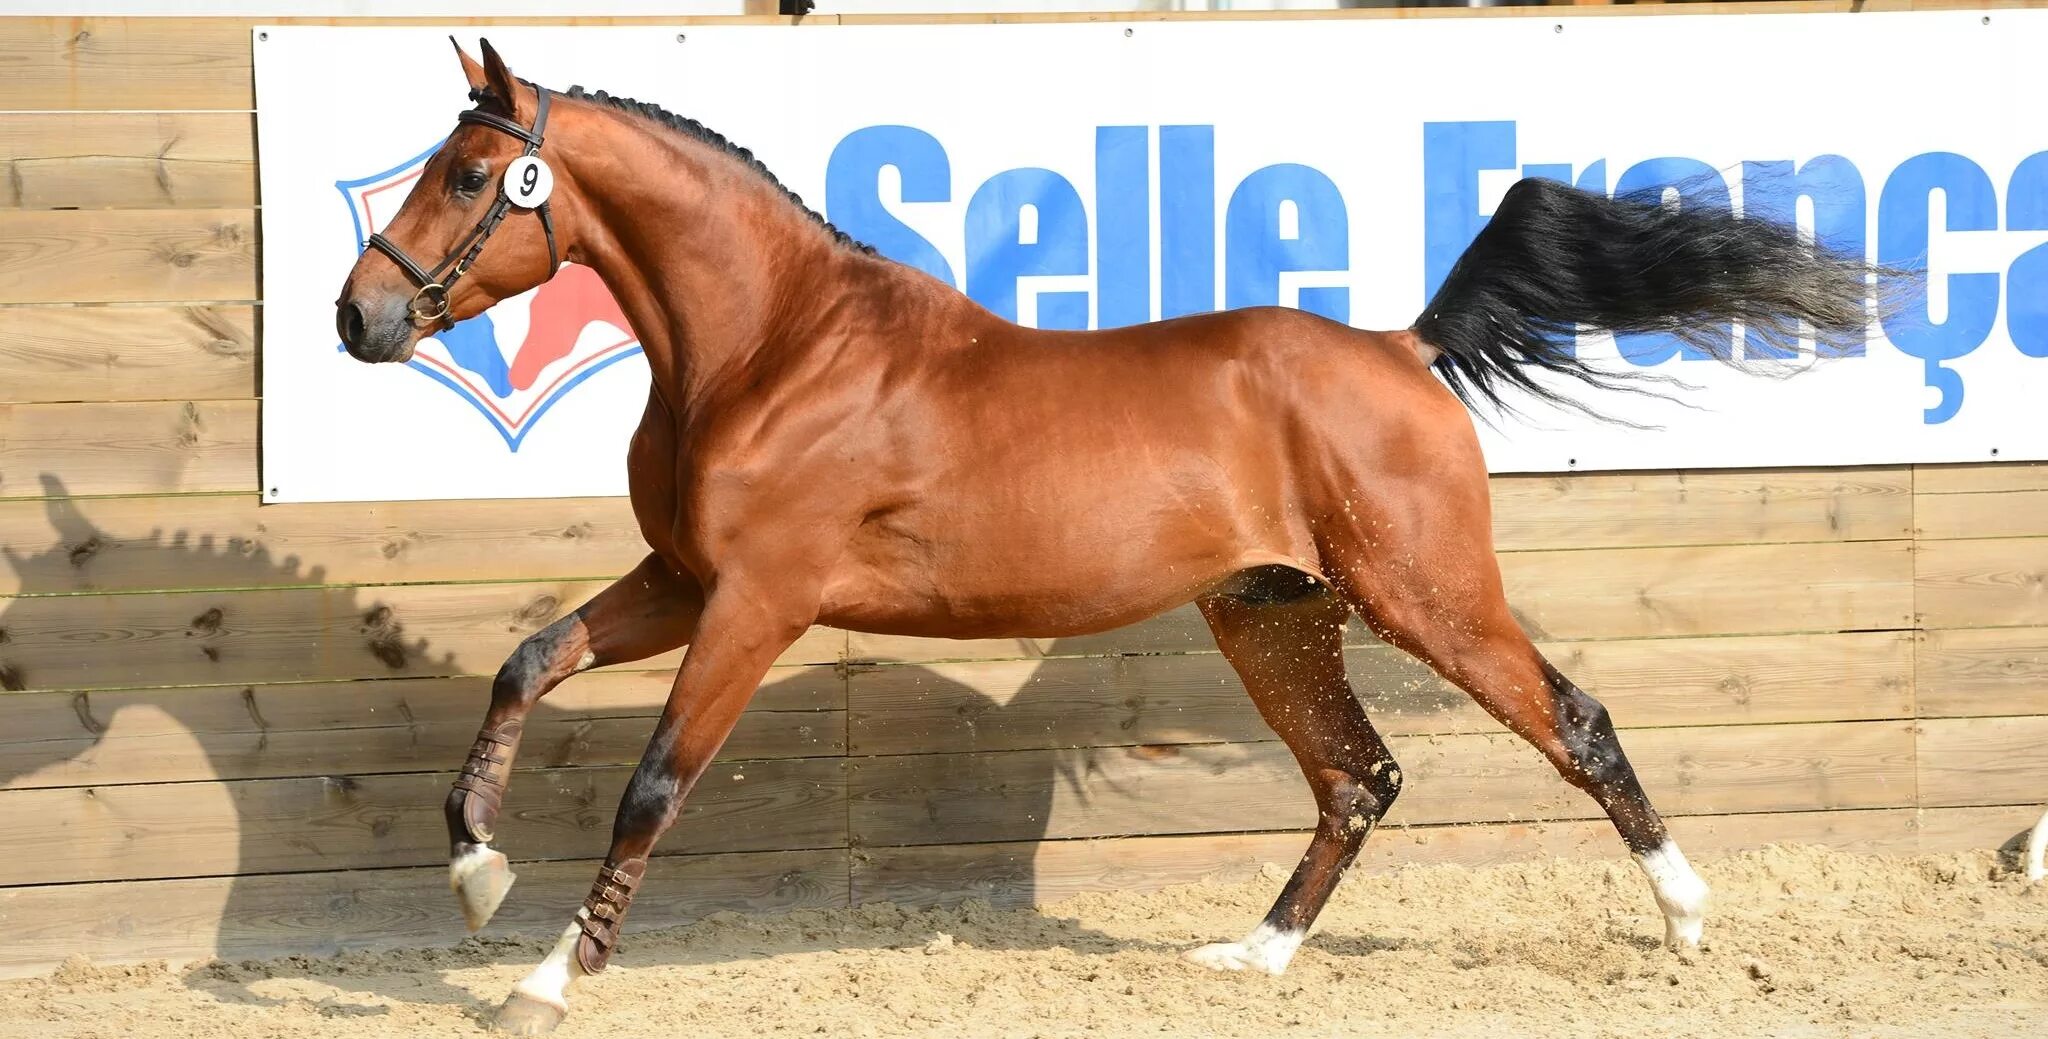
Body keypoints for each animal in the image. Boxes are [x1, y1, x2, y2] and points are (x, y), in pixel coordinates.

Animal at [331, 38, 1884, 1032]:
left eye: (467, 178)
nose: (361, 316)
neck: (775, 349)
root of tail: (1399, 347)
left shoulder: (756, 600)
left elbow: (653, 784)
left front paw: (540, 979)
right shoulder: (680, 577)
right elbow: (526, 661)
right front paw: (474, 871)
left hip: (1424, 593)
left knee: (1572, 719)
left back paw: (1686, 918)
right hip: (1269, 611)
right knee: (1357, 776)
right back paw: (1252, 956)